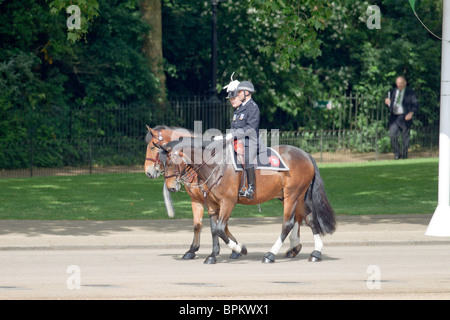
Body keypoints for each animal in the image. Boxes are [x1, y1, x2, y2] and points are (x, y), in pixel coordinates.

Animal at [156, 136, 336, 264]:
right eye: (161, 162)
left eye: (170, 162)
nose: (171, 187)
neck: (215, 165)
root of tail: (305, 154)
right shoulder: (211, 203)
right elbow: (214, 229)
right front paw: (213, 255)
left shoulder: (227, 202)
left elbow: (220, 228)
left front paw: (239, 248)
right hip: (297, 197)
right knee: (310, 218)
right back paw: (316, 252)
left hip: (291, 195)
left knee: (288, 223)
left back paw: (271, 254)